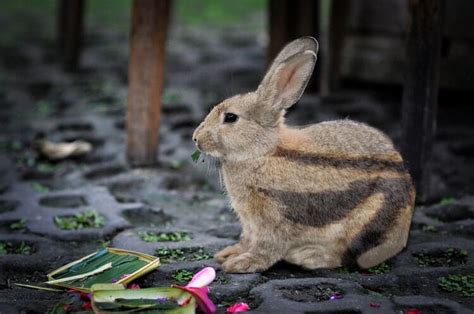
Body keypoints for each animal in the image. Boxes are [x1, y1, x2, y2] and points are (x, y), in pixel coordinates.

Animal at [193, 36, 414, 272]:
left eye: (231, 117)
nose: (196, 138)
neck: (263, 152)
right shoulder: (250, 223)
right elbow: (248, 239)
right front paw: (229, 254)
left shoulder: (275, 218)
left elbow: (268, 246)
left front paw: (242, 264)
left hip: (369, 221)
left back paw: (308, 257)